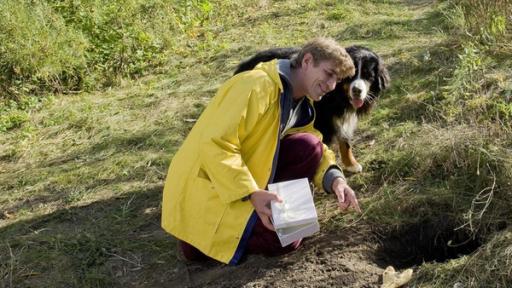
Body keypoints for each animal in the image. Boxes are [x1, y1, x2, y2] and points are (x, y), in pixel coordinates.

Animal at [234, 45, 390, 173]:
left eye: (368, 76)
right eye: (350, 76)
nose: (357, 90)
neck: (338, 96)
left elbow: (345, 142)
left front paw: (351, 164)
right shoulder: (322, 122)